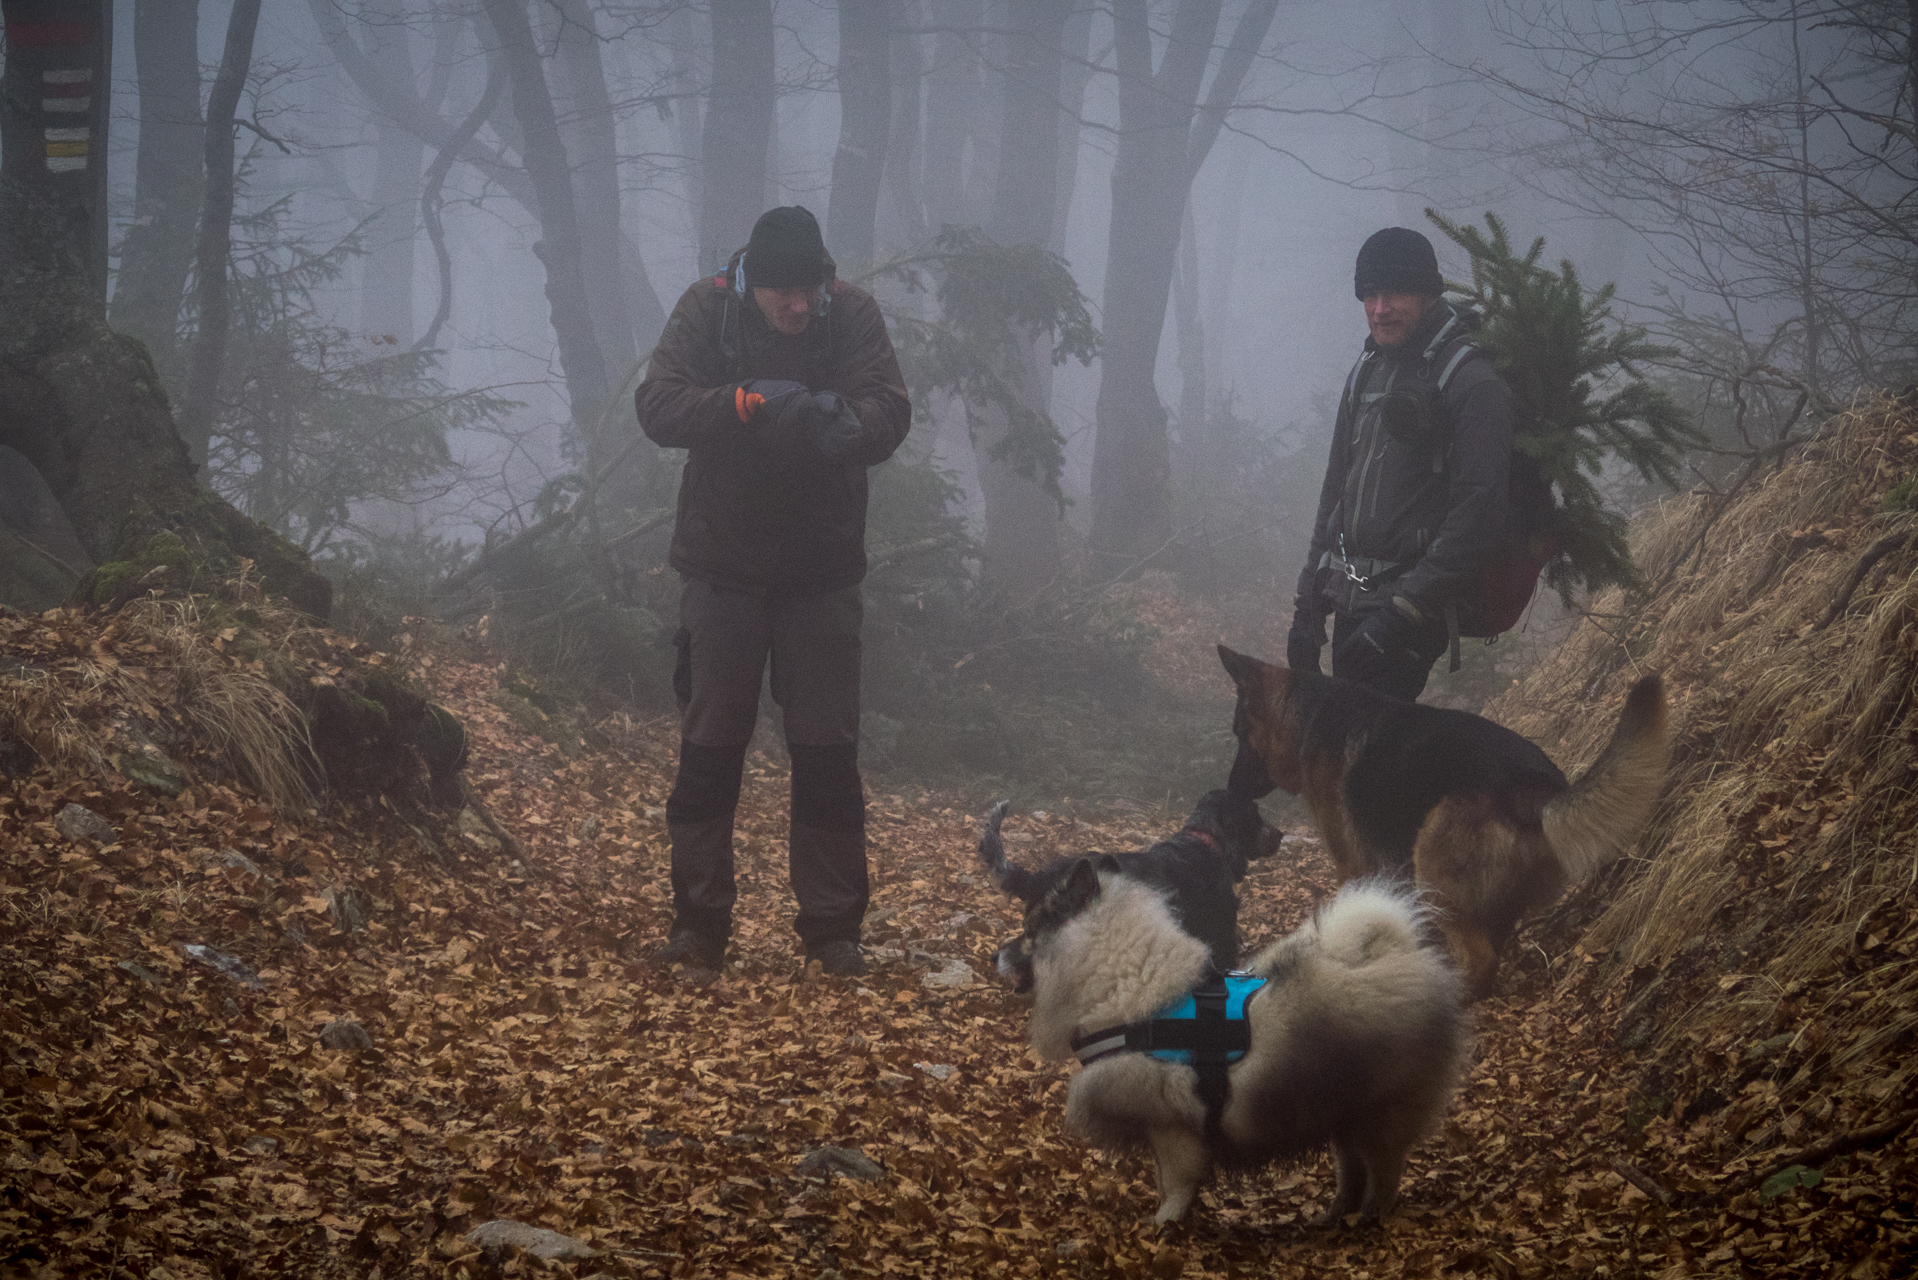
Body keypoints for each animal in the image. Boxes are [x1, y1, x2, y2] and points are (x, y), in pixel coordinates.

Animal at [1219, 644, 1672, 997]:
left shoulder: (1351, 863)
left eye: (1240, 732)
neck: (1309, 715)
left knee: (1481, 959)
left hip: (1434, 869)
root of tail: (1537, 787)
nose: (1229, 789)